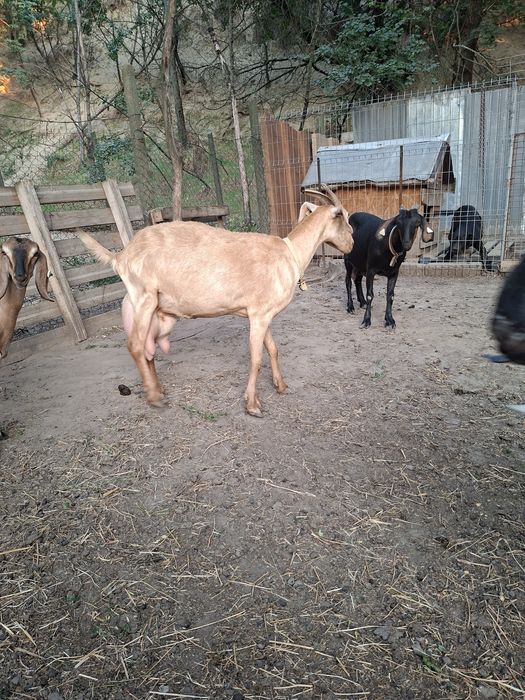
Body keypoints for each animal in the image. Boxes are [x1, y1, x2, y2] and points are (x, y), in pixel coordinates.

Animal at [76, 185, 354, 416]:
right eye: (344, 217)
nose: (351, 245)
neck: (290, 253)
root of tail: (121, 256)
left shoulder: (261, 313)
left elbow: (272, 350)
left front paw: (281, 386)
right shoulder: (259, 314)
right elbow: (256, 358)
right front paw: (252, 404)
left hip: (157, 311)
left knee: (148, 348)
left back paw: (158, 388)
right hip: (144, 297)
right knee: (135, 345)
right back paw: (155, 397)